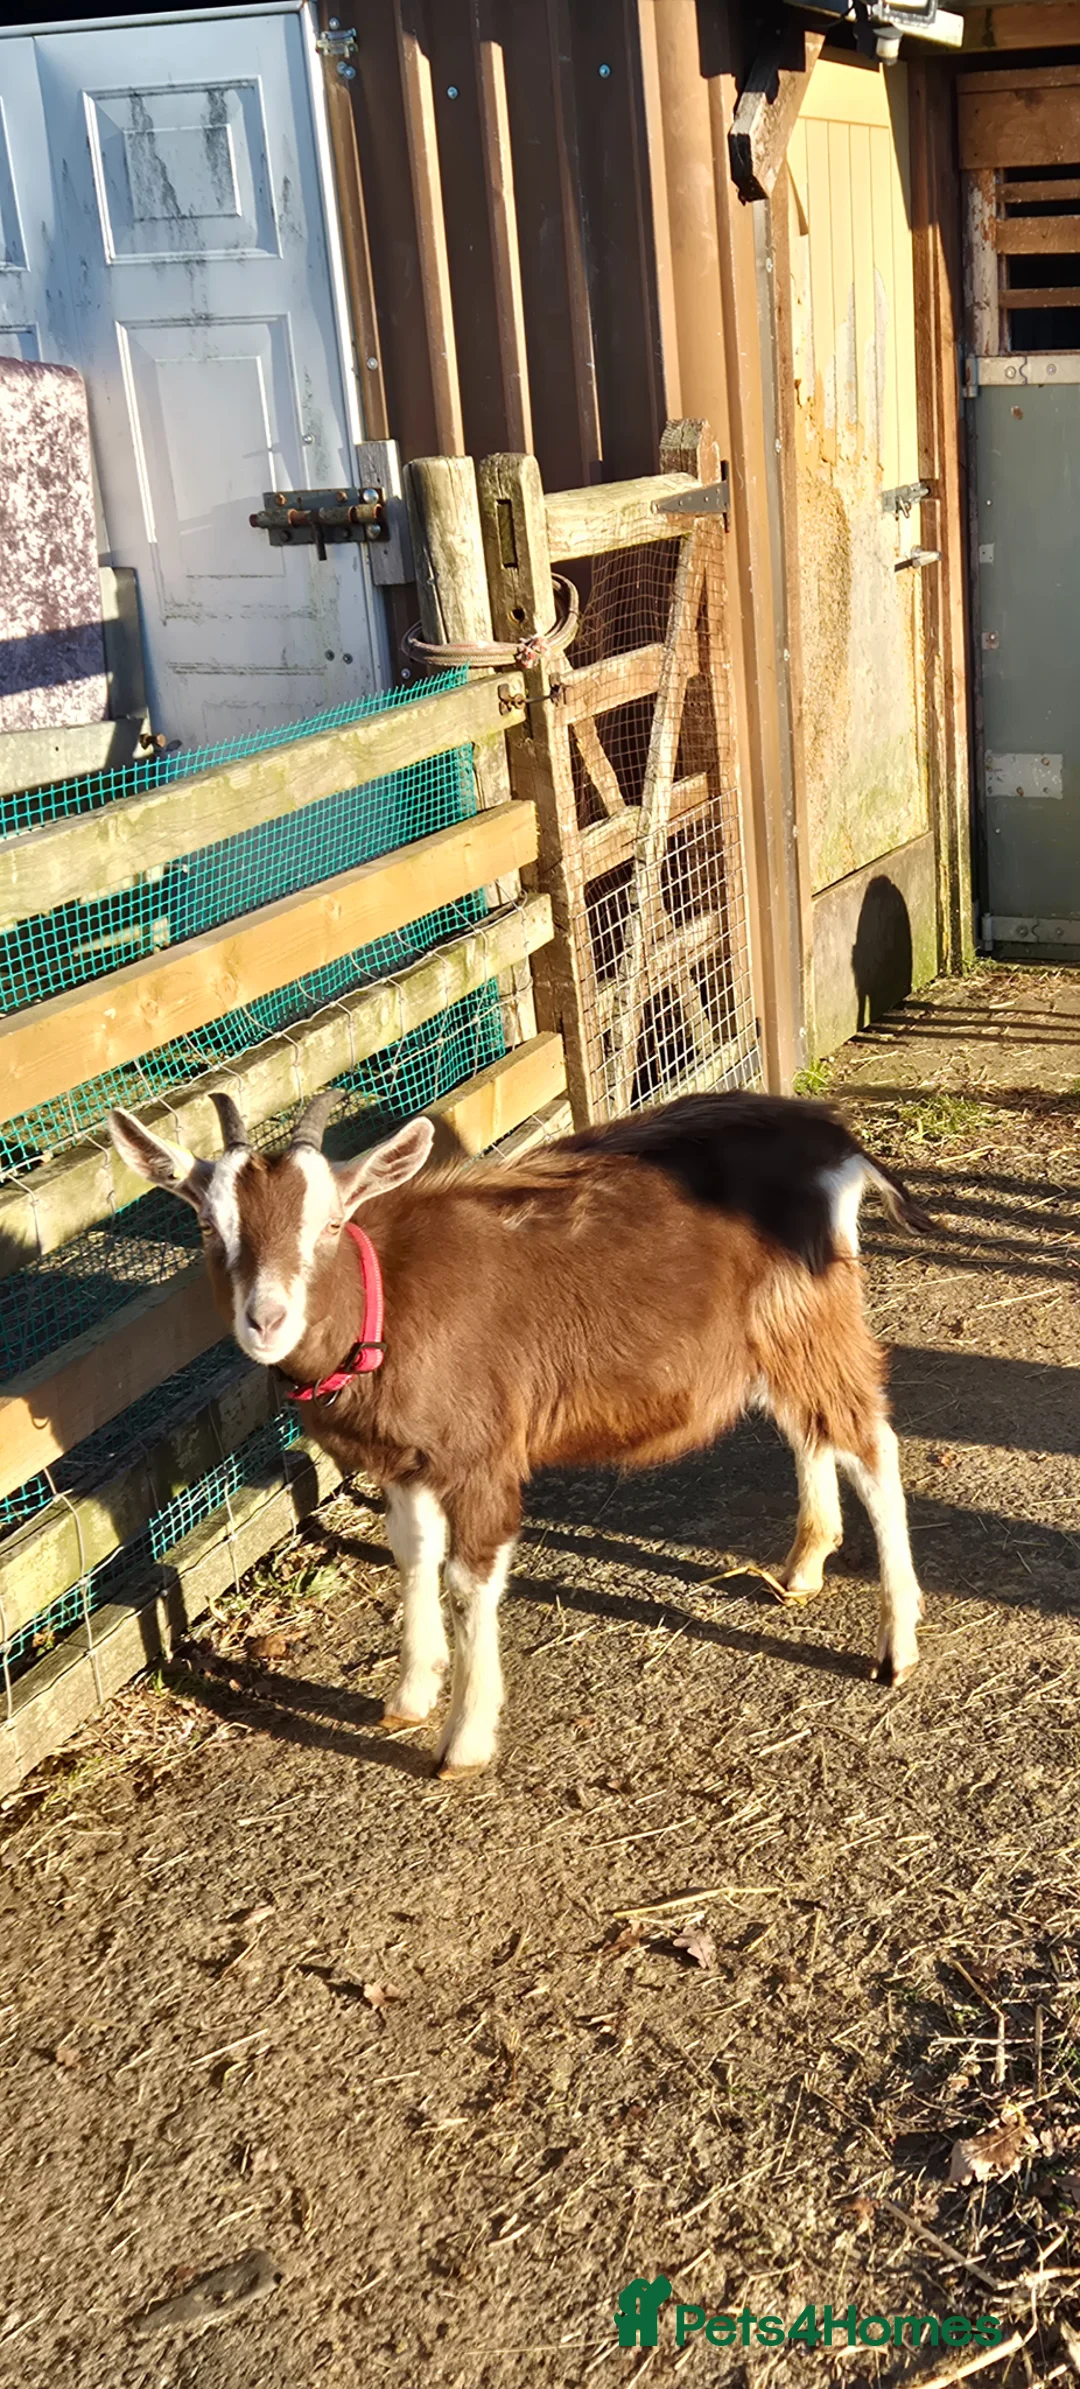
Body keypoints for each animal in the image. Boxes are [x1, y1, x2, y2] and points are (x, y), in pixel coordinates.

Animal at [108, 1089, 931, 1776]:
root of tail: (834, 1139)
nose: (266, 1320)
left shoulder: (480, 1455)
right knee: (808, 1428)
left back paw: (898, 1645)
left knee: (869, 1441)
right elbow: (412, 1554)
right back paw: (805, 1566)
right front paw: (409, 1694)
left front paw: (463, 1742)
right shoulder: (403, 1462)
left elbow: (467, 1579)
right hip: (771, 1337)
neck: (385, 1305)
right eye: (207, 1224)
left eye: (332, 1222)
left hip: (809, 1310)